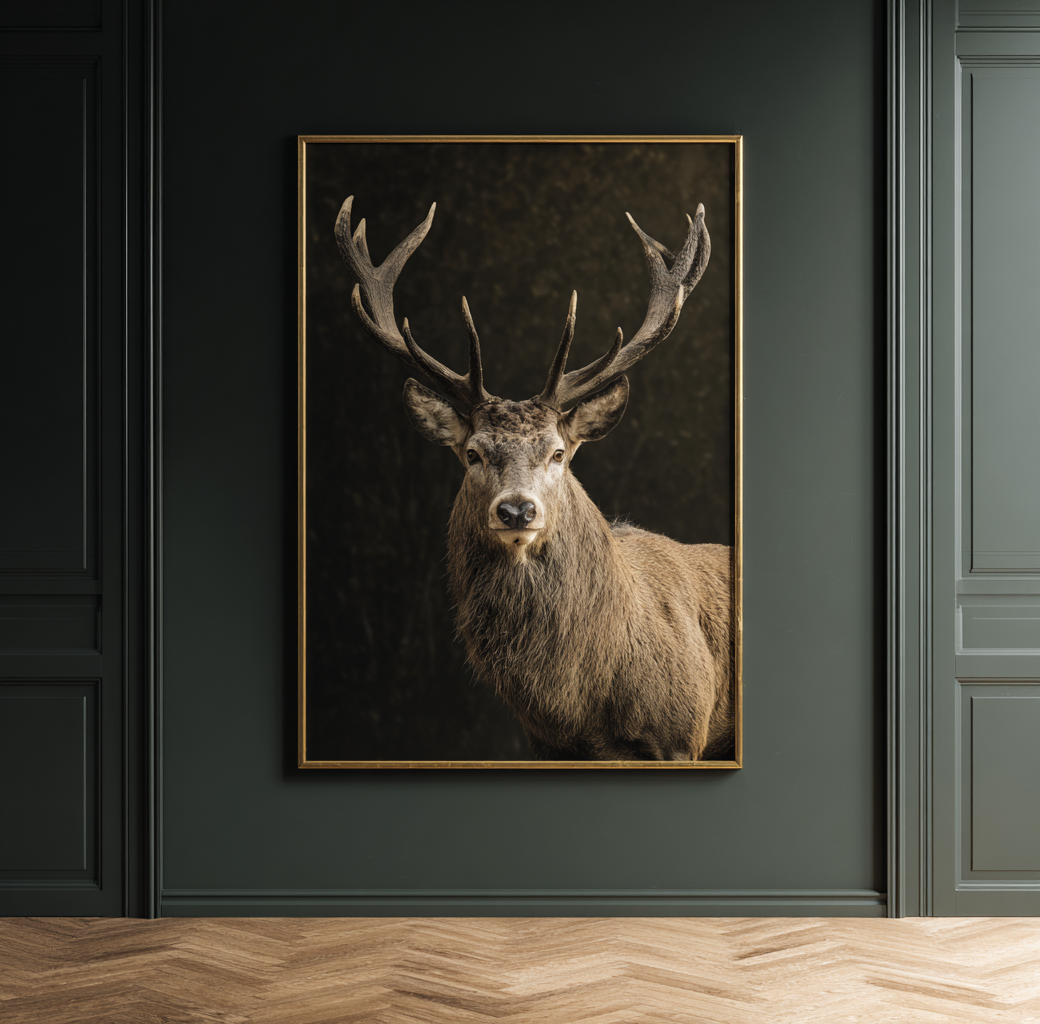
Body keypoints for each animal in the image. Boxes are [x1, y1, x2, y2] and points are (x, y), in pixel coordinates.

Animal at [335, 196, 734, 762]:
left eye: (559, 453)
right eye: (473, 454)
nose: (517, 509)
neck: (584, 706)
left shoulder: (680, 732)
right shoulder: (546, 745)